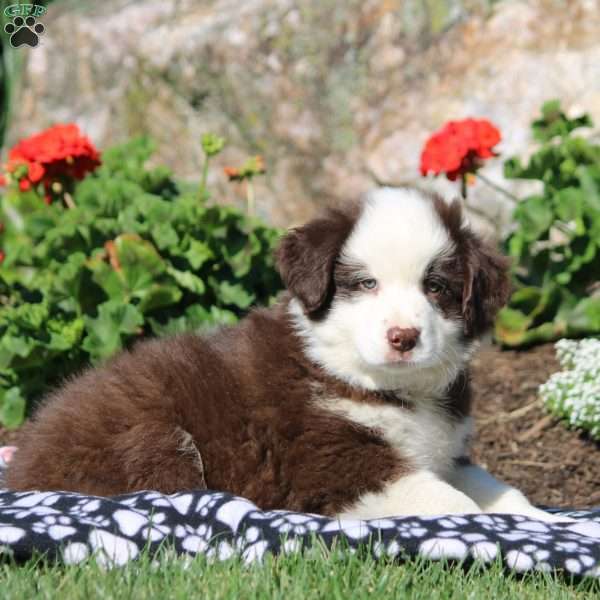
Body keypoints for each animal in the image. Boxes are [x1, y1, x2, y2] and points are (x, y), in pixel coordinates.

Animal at [3, 188, 564, 520]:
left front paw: (542, 522)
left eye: (437, 287)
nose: (403, 336)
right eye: (365, 284)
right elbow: (455, 502)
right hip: (150, 438)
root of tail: (25, 459)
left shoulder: (445, 454)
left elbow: (501, 492)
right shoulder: (338, 465)